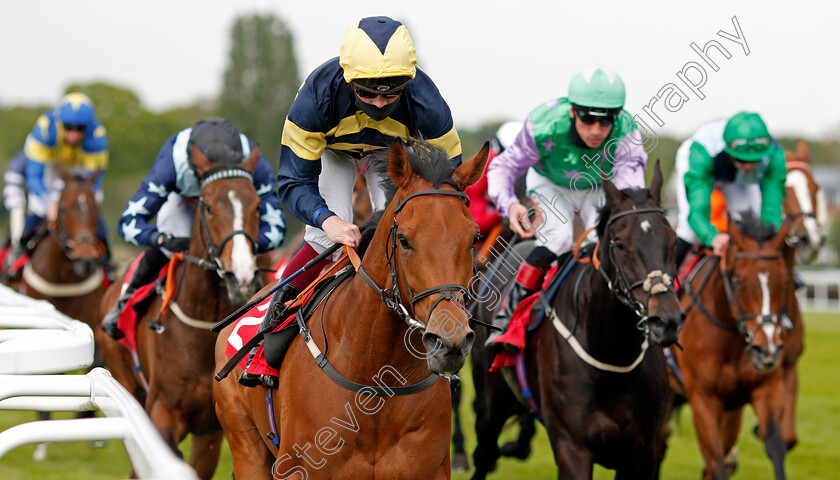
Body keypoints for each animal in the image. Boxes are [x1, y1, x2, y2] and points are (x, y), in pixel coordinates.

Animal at [99, 146, 262, 480]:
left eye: (256, 206)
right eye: (209, 207)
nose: (241, 276)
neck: (201, 329)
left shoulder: (211, 431)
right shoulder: (160, 414)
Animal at [213, 139, 488, 480]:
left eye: (474, 238)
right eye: (404, 239)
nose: (450, 340)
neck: (375, 375)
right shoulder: (297, 468)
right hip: (245, 447)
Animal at [470, 162, 684, 480]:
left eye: (671, 241)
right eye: (620, 244)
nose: (666, 319)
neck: (613, 355)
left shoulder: (642, 452)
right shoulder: (573, 448)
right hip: (490, 404)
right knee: (484, 455)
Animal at [668, 215, 796, 480]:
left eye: (783, 280)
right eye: (738, 280)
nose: (767, 349)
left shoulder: (765, 388)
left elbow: (775, 446)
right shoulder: (703, 399)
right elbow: (716, 461)